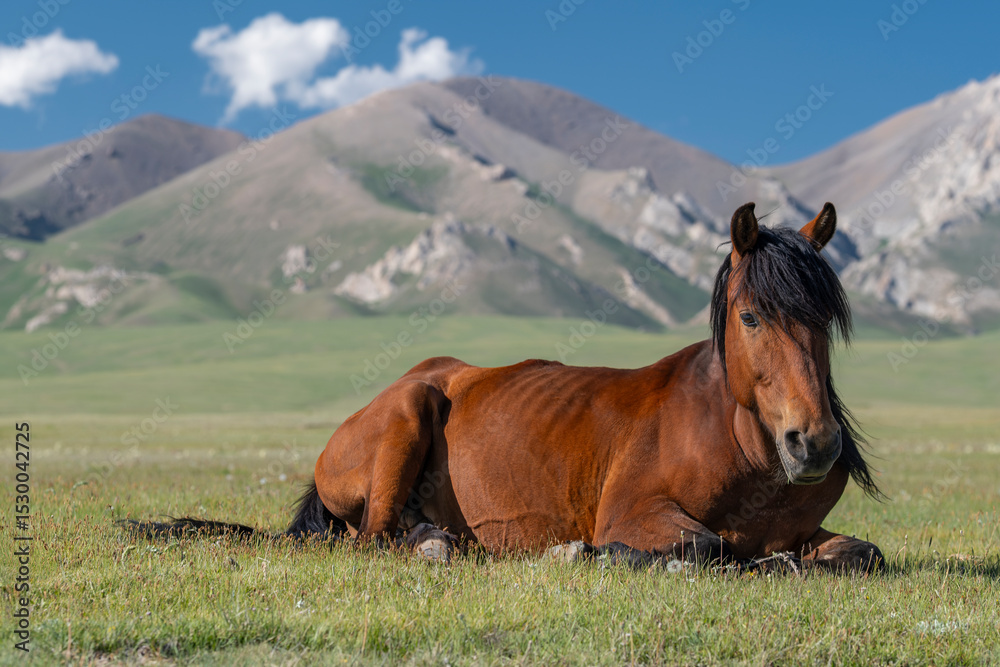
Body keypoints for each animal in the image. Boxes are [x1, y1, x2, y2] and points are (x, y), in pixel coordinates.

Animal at [127, 201, 884, 573]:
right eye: (752, 315)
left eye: (826, 318)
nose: (814, 444)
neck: (738, 444)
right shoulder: (633, 514)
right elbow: (705, 547)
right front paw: (587, 553)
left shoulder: (809, 530)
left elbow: (859, 554)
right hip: (409, 411)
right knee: (374, 537)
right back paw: (438, 547)